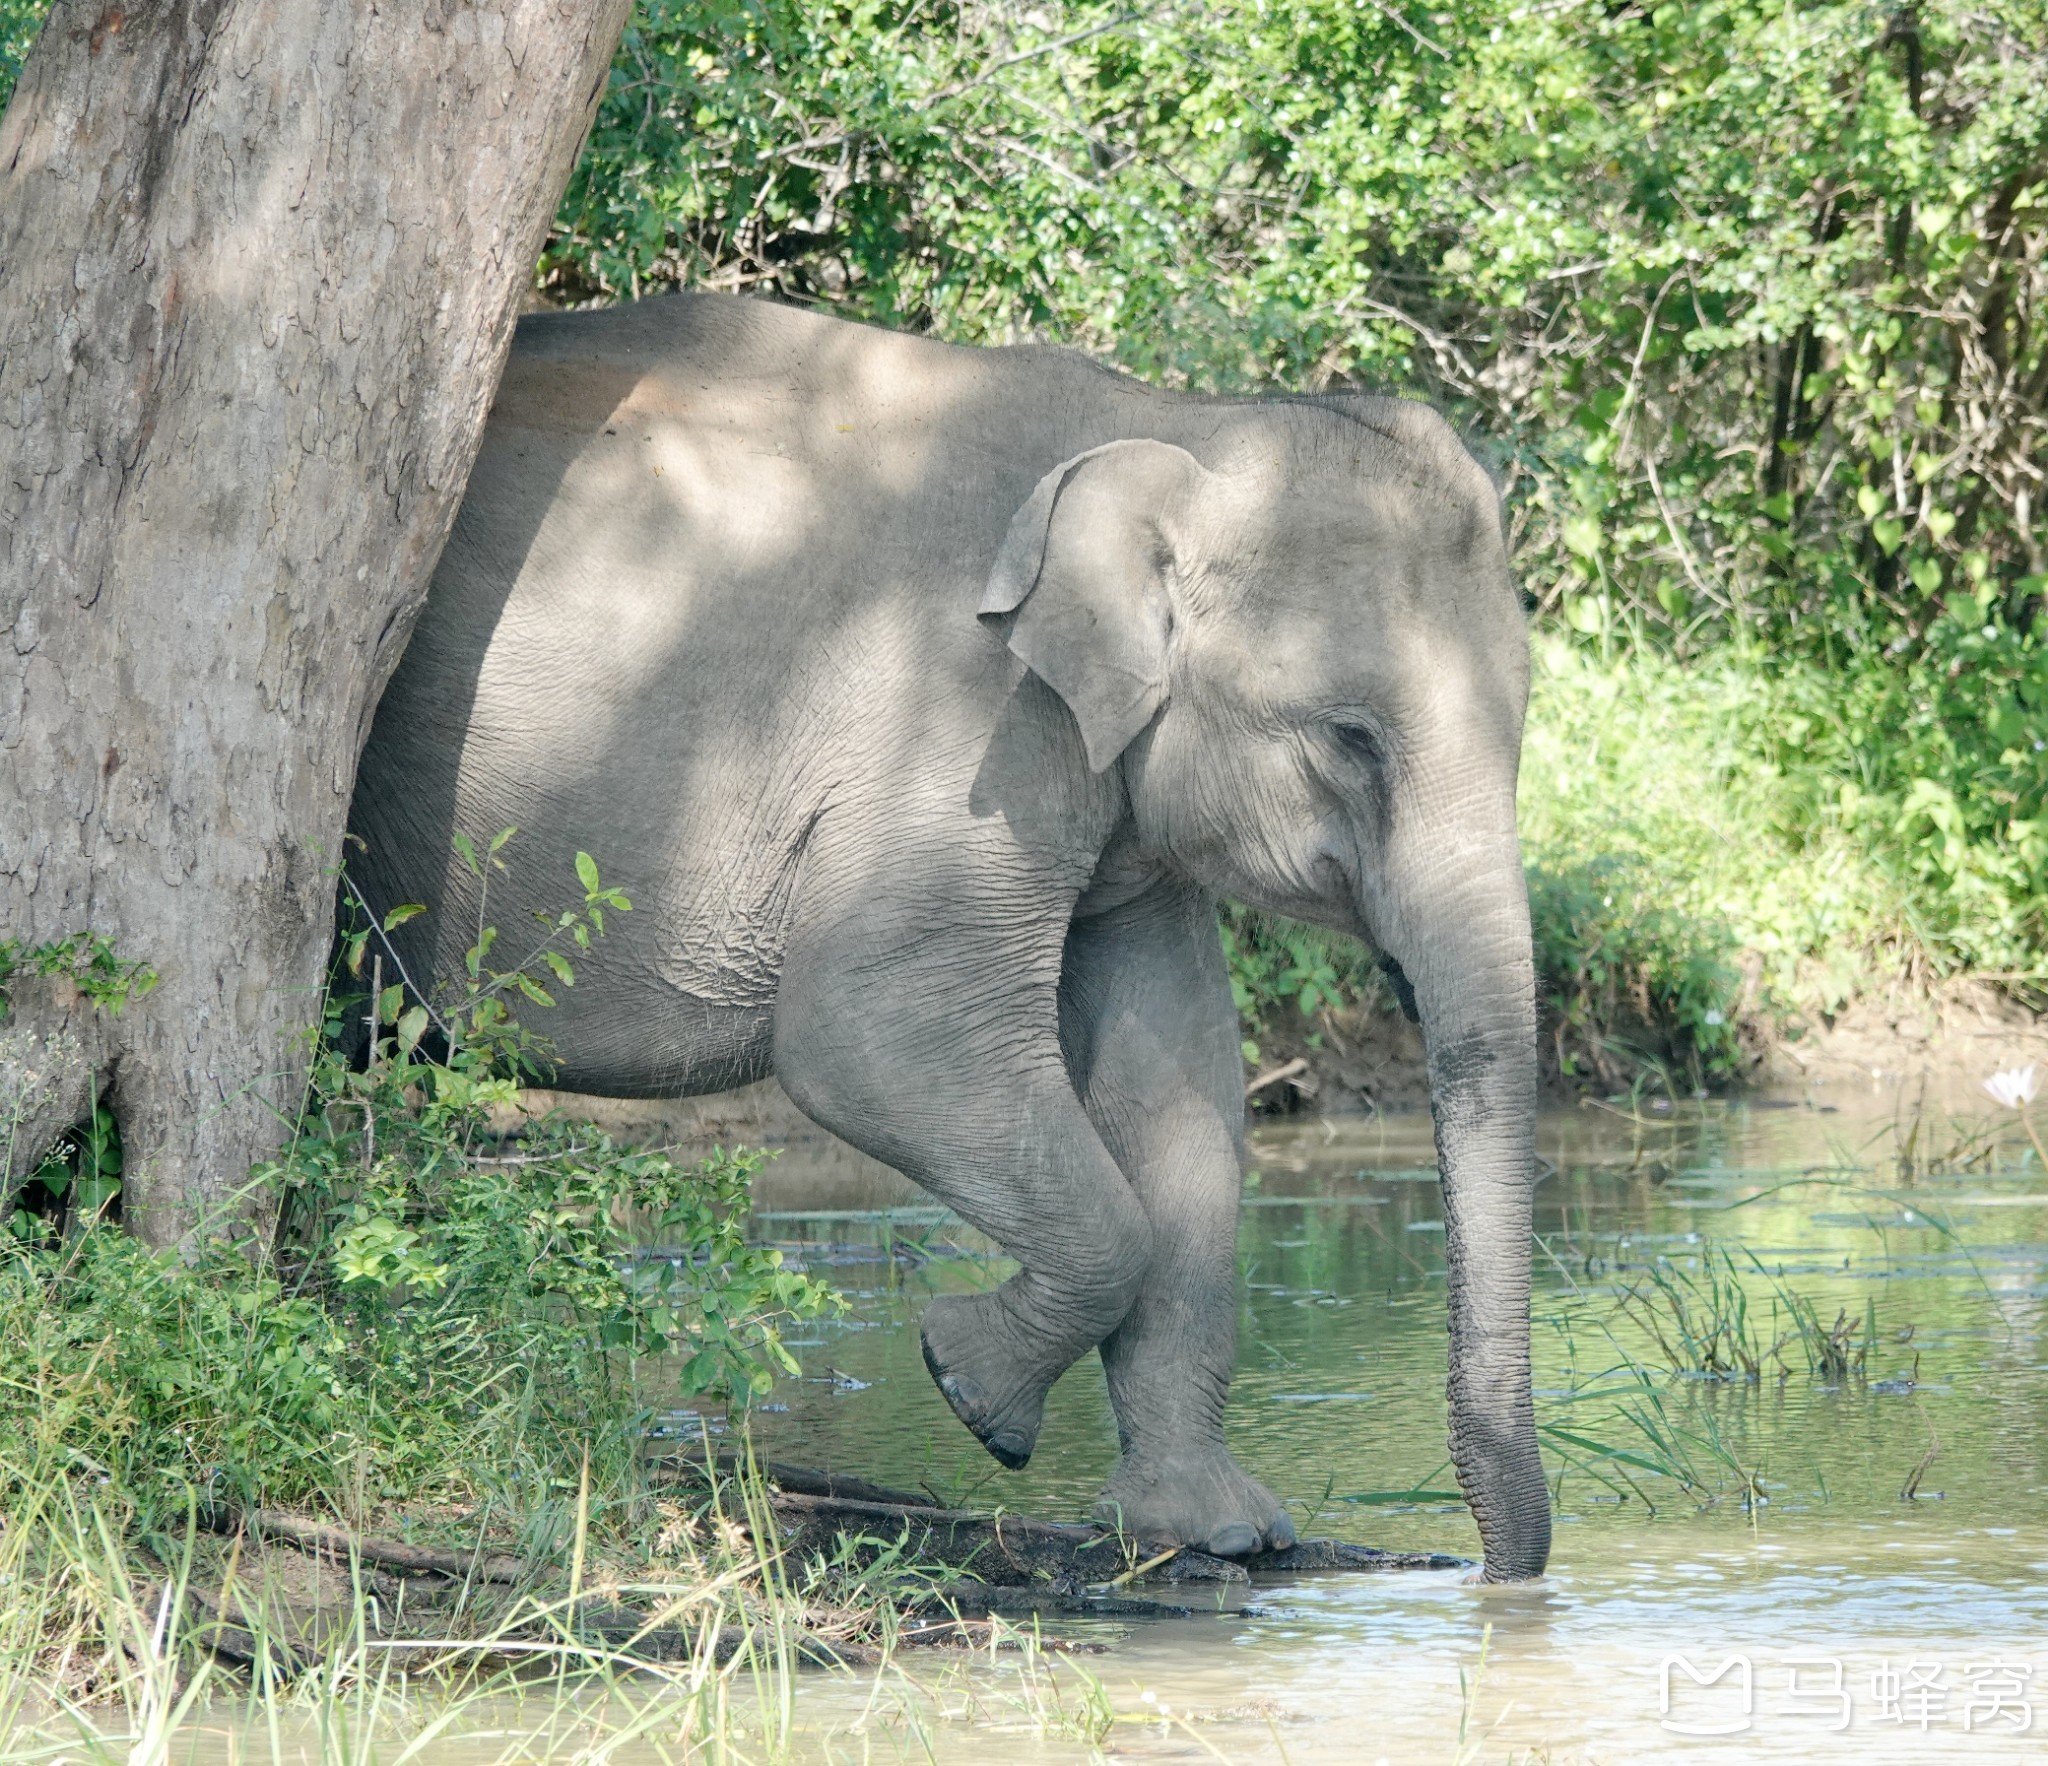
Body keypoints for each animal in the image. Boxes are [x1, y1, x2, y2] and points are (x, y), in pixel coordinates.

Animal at [344, 292, 1540, 1589]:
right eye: (1349, 738)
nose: (1500, 1572)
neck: (1174, 425)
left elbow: (1178, 1088)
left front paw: (1214, 1533)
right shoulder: (962, 723)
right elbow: (866, 1025)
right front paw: (969, 1387)